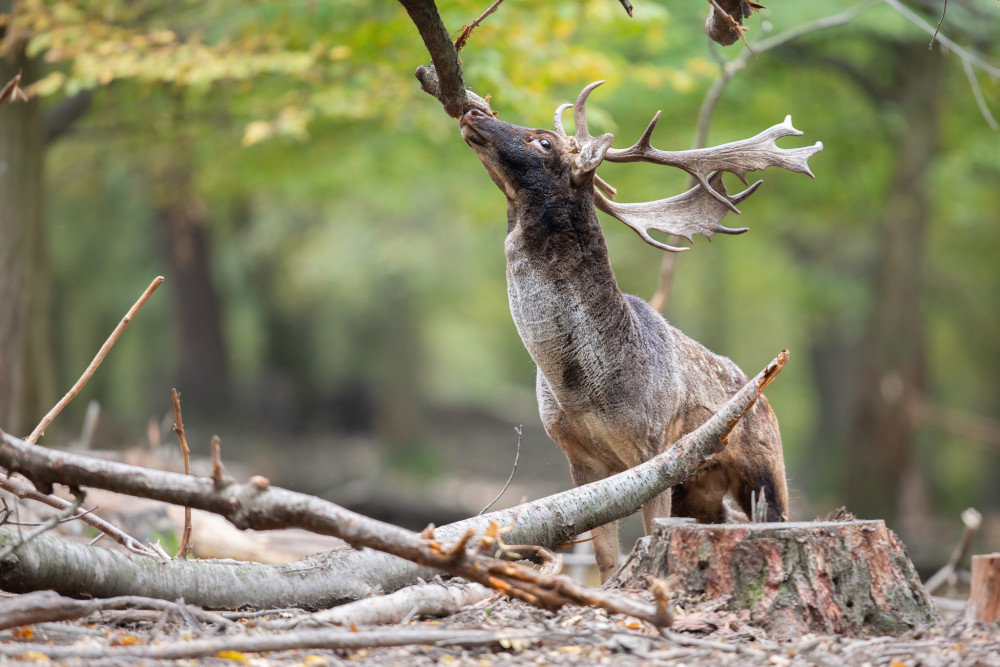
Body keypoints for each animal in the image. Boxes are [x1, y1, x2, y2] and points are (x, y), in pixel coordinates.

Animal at [460, 82, 820, 584]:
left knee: (773, 515)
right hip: (700, 487)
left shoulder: (654, 446)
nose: (473, 113)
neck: (580, 389)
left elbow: (651, 533)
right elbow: (604, 556)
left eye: (544, 142)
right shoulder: (581, 460)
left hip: (768, 470)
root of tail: (765, 401)